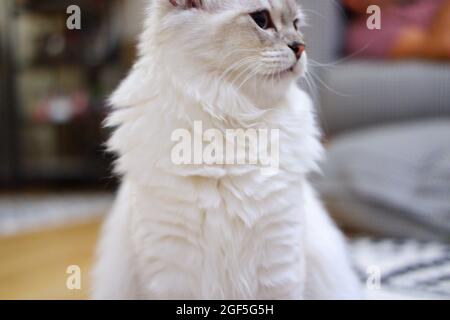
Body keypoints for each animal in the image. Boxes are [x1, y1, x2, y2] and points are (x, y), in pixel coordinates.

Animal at [93, 0, 364, 300]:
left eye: (295, 24)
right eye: (261, 19)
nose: (300, 46)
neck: (234, 122)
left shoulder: (279, 260)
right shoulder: (172, 269)